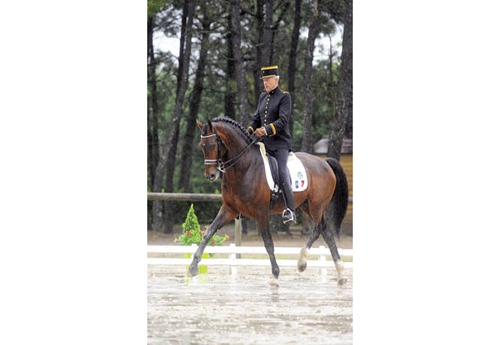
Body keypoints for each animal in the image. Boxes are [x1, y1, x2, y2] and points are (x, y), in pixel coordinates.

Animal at [189, 117, 350, 284]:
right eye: (202, 145)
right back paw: (340, 273)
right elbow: (208, 232)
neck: (244, 167)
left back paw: (302, 262)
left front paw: (275, 274)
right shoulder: (229, 209)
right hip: (307, 205)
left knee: (318, 229)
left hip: (316, 206)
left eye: (213, 144)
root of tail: (324, 162)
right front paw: (193, 267)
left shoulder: (261, 213)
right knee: (327, 232)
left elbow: (268, 243)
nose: (211, 175)